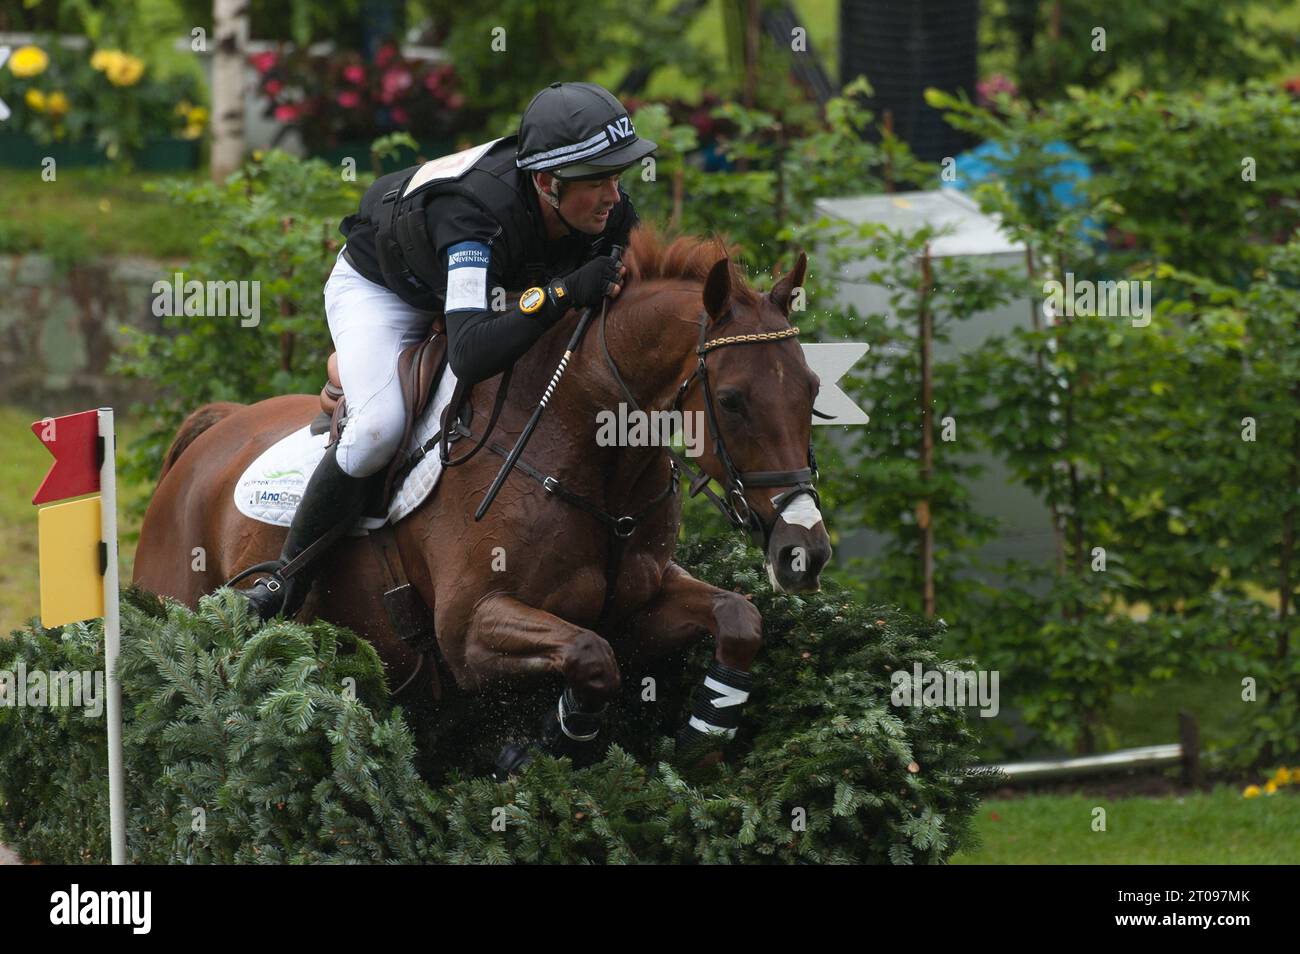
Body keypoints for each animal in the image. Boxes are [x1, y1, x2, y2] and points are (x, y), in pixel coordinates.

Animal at [131, 230, 832, 764]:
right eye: (733, 401)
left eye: (813, 388)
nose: (804, 550)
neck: (589, 461)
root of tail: (215, 430)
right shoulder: (468, 631)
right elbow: (591, 656)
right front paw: (549, 741)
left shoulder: (638, 605)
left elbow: (738, 617)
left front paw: (703, 734)